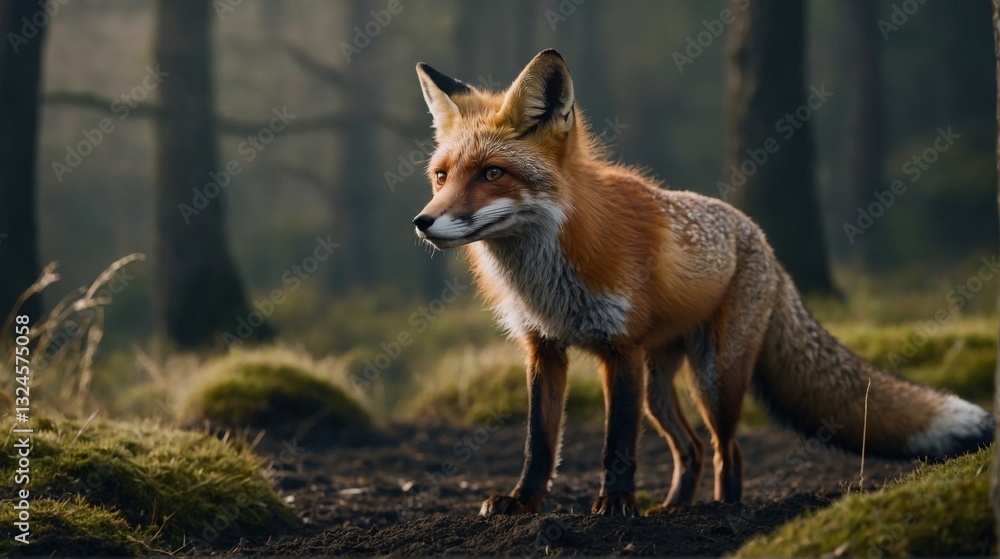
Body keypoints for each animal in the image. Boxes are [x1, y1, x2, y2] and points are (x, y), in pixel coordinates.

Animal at [411, 49, 994, 517]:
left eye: (492, 173)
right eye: (442, 176)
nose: (423, 222)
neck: (547, 277)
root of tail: (761, 240)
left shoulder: (619, 350)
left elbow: (616, 445)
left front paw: (616, 503)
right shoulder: (543, 348)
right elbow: (538, 443)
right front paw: (523, 502)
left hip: (713, 377)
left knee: (726, 449)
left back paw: (721, 509)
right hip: (660, 386)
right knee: (689, 449)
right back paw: (672, 508)